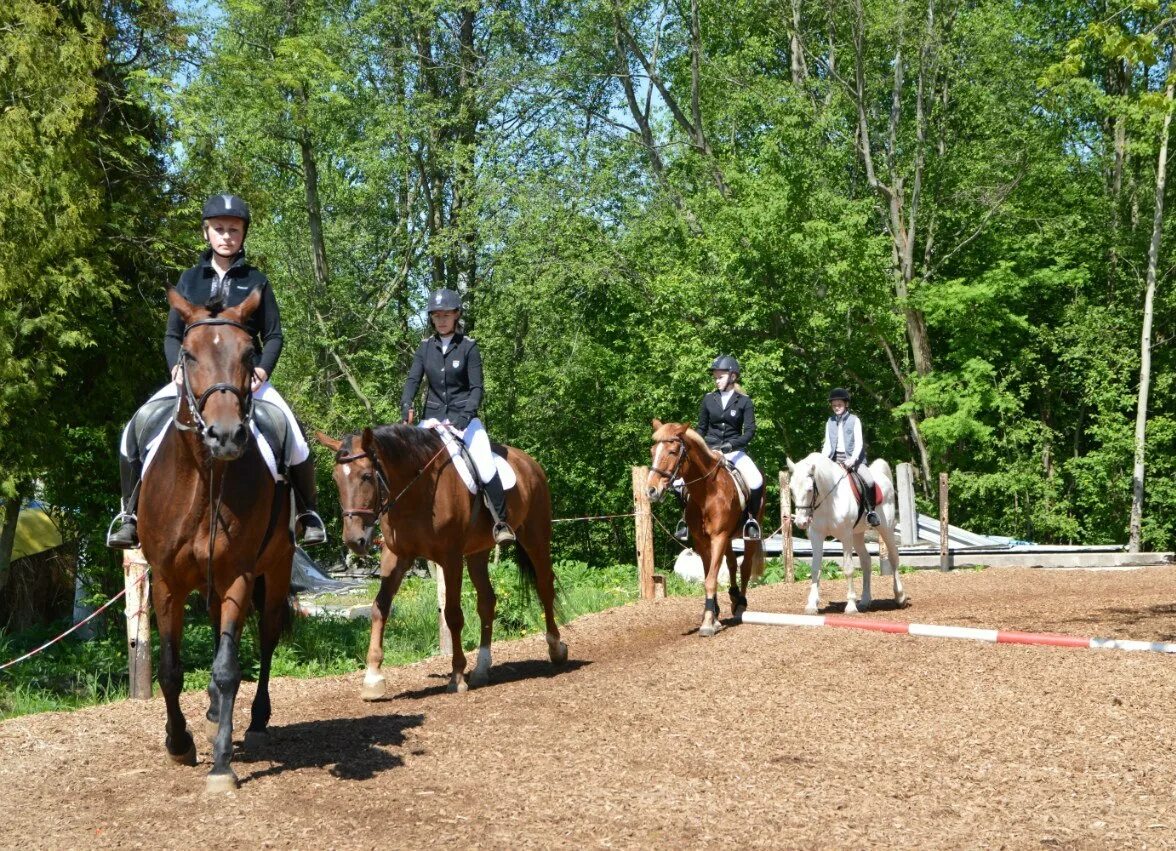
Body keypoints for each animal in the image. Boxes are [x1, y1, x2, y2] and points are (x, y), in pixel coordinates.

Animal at [138, 289, 294, 794]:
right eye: (188, 354)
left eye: (248, 354)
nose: (225, 436)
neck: (205, 478)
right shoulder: (166, 582)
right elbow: (170, 669)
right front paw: (179, 743)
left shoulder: (238, 576)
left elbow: (228, 670)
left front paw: (222, 765)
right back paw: (207, 715)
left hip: (276, 571)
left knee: (265, 639)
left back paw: (257, 721)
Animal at [317, 425, 564, 695]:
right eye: (335, 479)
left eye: (366, 476)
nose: (354, 541)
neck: (416, 492)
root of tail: (529, 462)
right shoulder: (396, 556)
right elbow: (379, 607)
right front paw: (373, 678)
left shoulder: (451, 558)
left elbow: (453, 615)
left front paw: (456, 676)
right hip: (478, 552)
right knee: (487, 601)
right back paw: (481, 669)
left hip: (535, 537)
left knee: (545, 586)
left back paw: (556, 648)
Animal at [649, 423, 766, 634]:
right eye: (652, 451)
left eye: (672, 452)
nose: (651, 490)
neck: (707, 492)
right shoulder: (702, 541)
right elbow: (709, 574)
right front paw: (714, 617)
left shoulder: (718, 537)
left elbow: (711, 579)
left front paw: (707, 624)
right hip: (729, 538)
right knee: (731, 564)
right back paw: (734, 596)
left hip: (748, 533)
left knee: (744, 567)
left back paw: (741, 604)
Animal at [790, 456, 907, 615]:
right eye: (791, 490)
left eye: (809, 489)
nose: (801, 522)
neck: (829, 500)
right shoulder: (817, 535)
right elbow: (815, 568)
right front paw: (812, 605)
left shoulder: (845, 536)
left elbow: (848, 569)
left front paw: (851, 606)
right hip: (857, 534)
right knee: (866, 561)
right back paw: (864, 601)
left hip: (885, 528)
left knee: (894, 556)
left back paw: (900, 597)